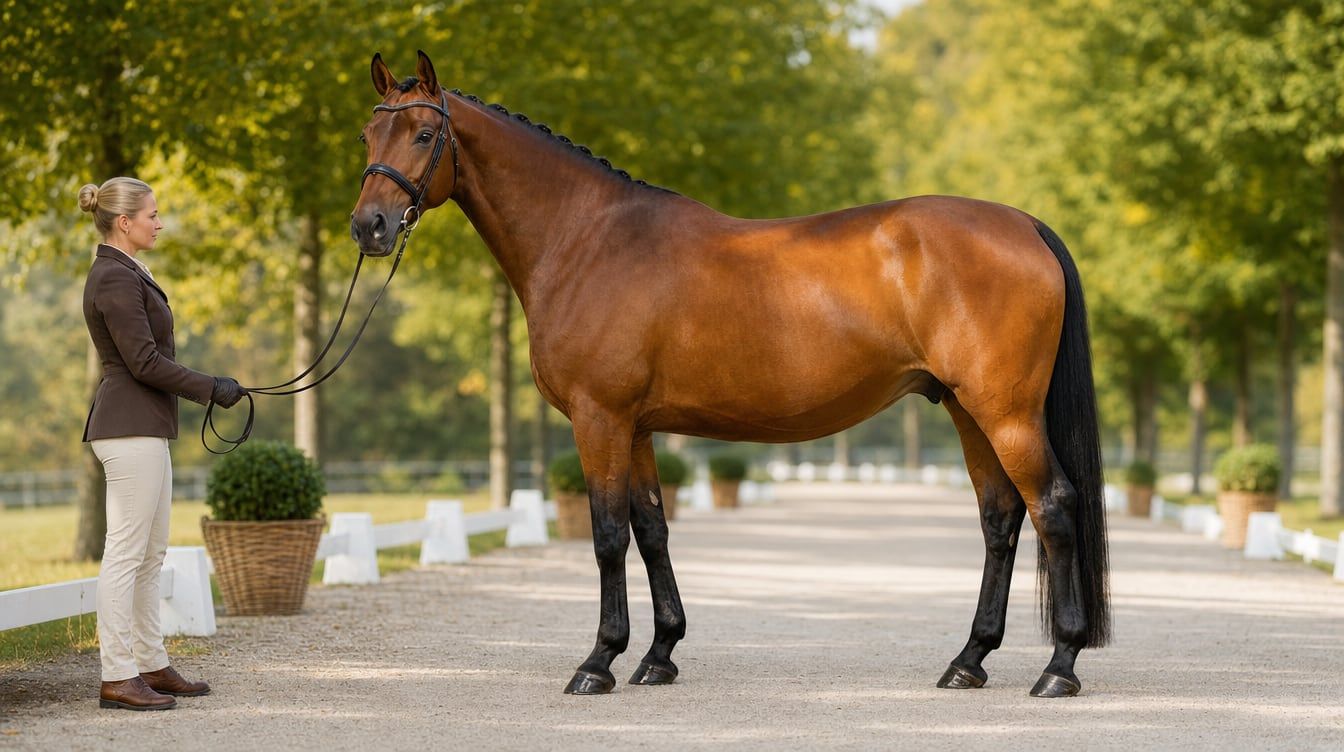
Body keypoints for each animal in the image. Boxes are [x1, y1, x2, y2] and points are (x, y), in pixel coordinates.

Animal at [350, 51, 1110, 698]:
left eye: (424, 133)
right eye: (367, 134)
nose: (370, 227)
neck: (588, 239)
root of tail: (1025, 225)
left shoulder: (600, 419)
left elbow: (607, 535)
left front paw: (598, 662)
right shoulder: (636, 428)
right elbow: (651, 529)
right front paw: (659, 655)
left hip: (1005, 412)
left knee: (1054, 507)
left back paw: (1059, 667)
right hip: (965, 408)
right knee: (1001, 517)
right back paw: (968, 660)